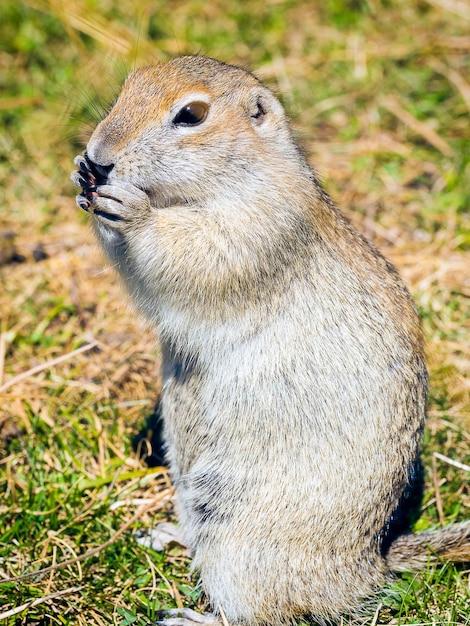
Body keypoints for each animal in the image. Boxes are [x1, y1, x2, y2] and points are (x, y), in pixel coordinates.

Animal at [70, 56, 470, 620]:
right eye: (128, 86)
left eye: (191, 115)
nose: (97, 158)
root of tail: (367, 566)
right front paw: (79, 176)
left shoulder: (258, 227)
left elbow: (195, 253)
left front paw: (133, 209)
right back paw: (168, 535)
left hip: (242, 546)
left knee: (261, 610)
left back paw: (193, 618)